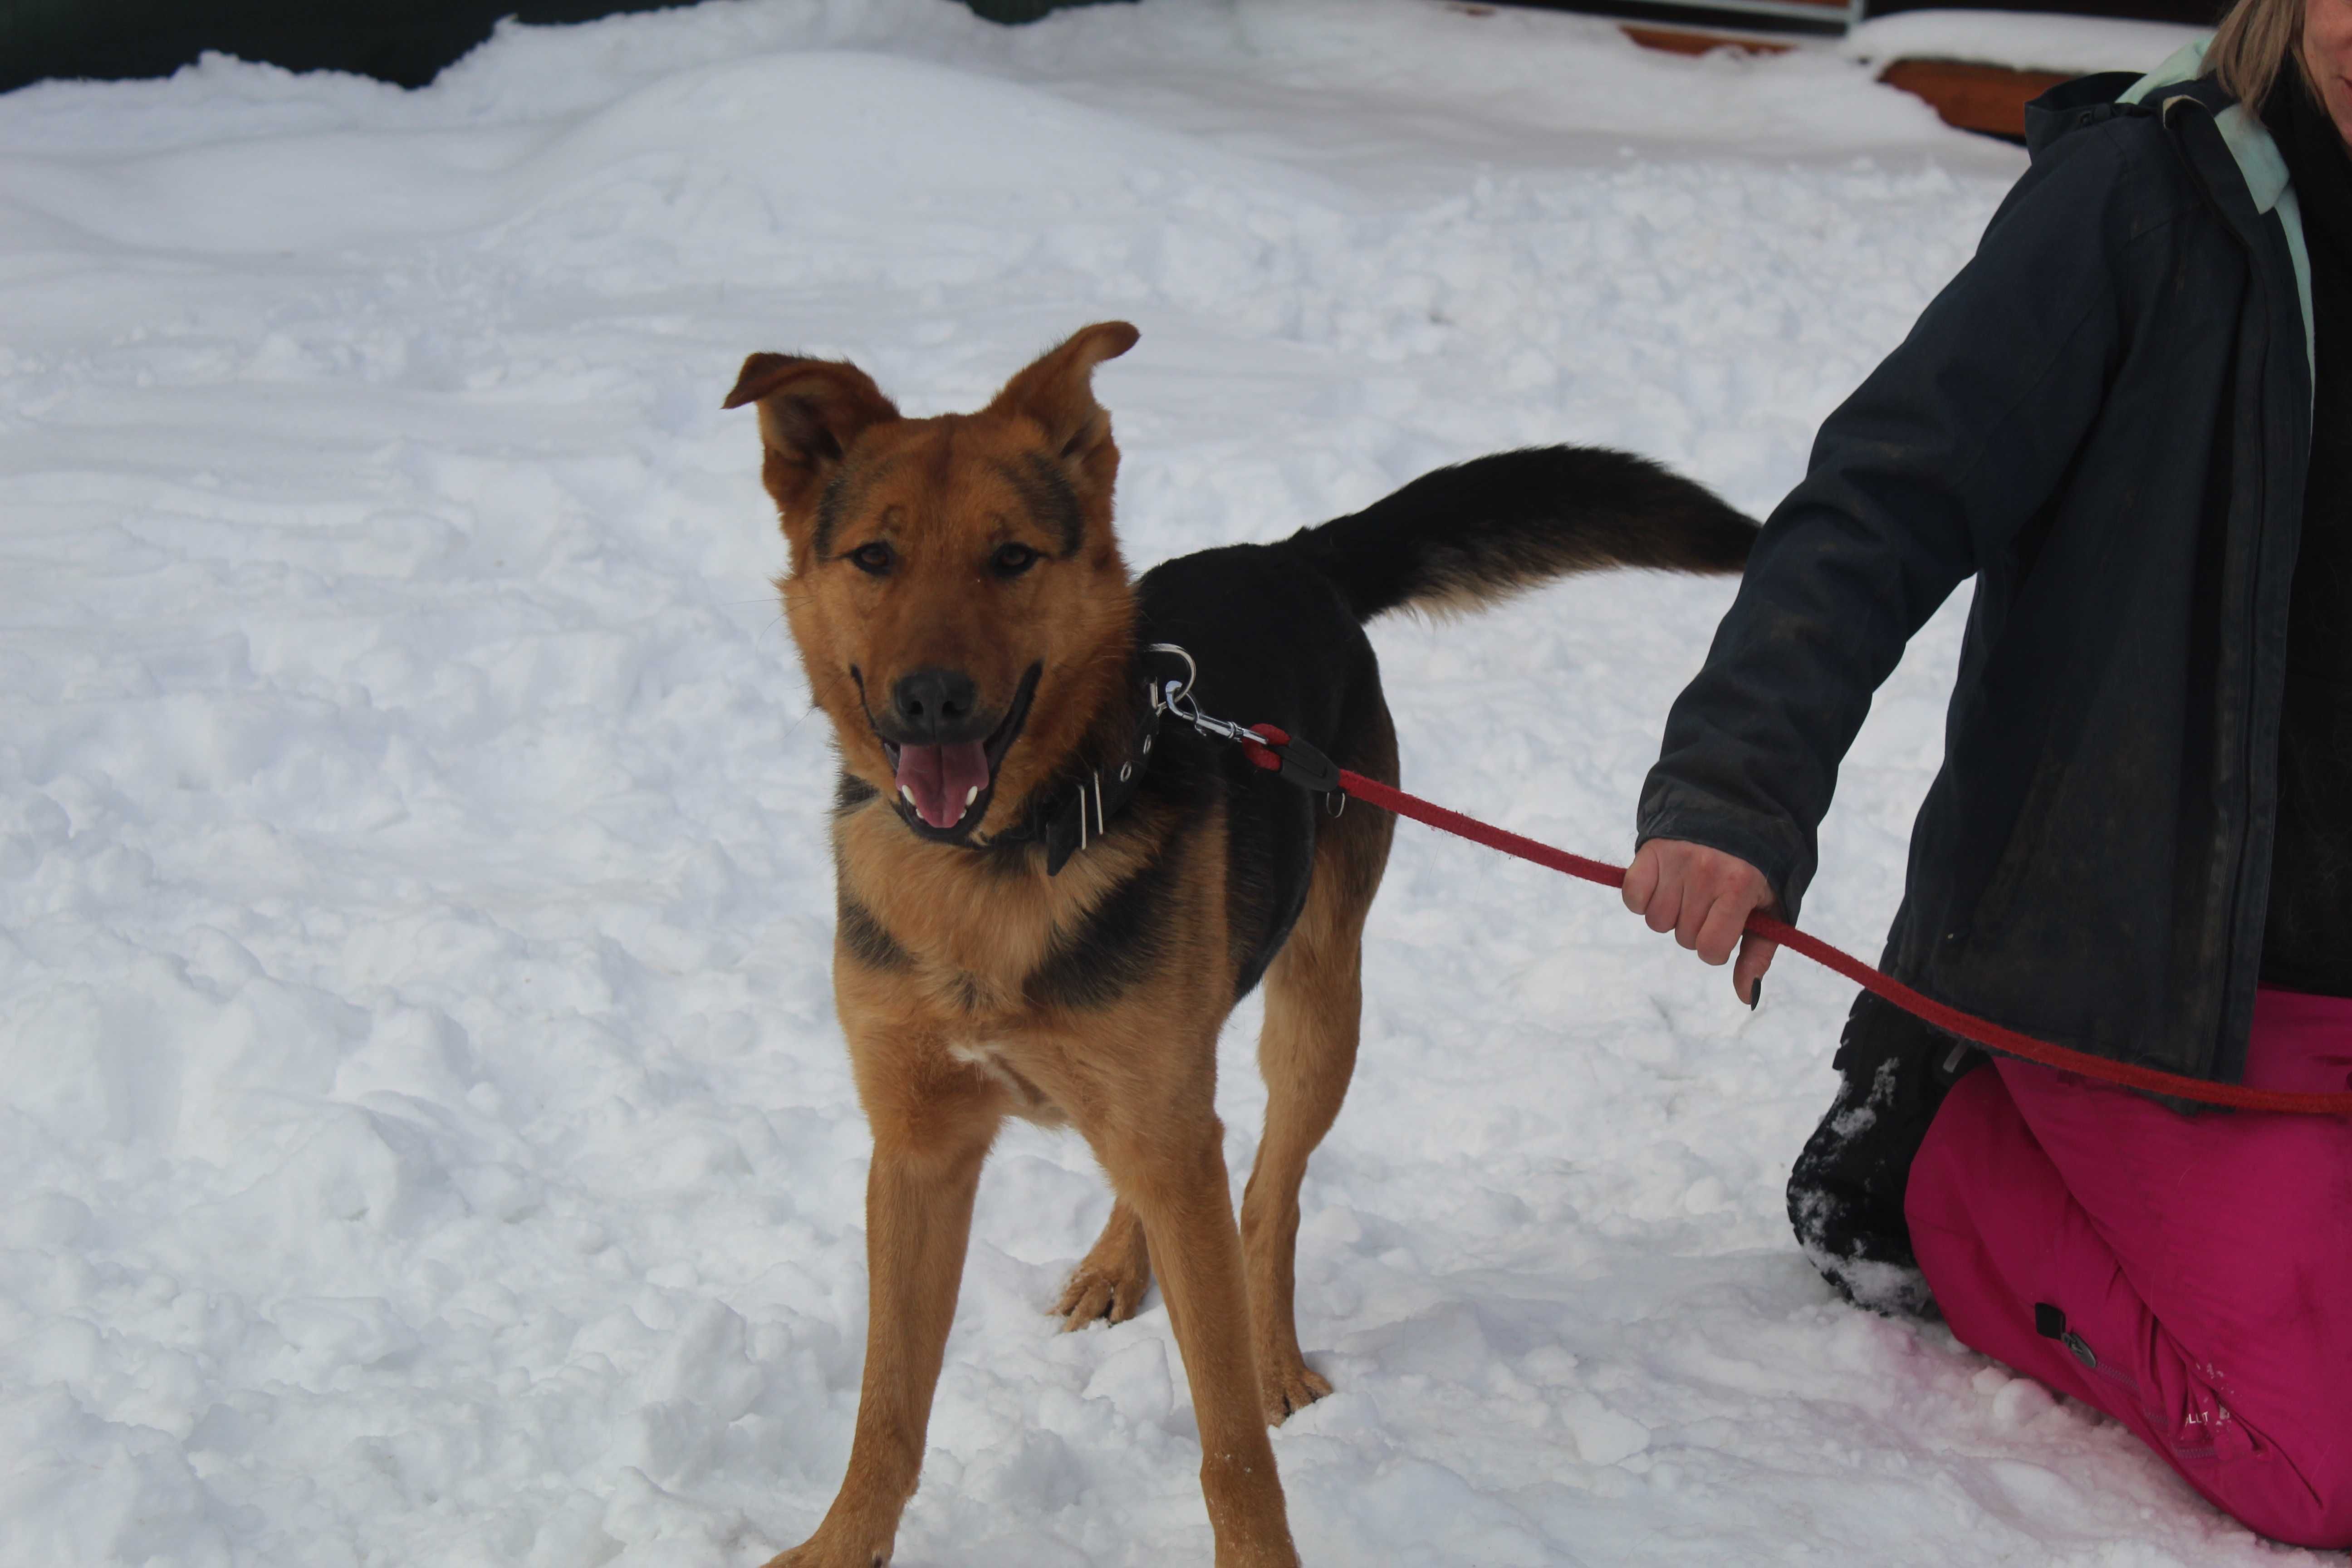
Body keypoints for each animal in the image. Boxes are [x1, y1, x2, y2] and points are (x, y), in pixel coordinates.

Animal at [724, 322, 1759, 1568]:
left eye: (1012, 558)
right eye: (874, 557)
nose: (931, 700)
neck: (1000, 866)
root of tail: (1292, 558)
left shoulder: (1169, 1135)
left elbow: (1230, 1442)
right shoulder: (918, 1149)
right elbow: (886, 1406)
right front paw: (839, 1544)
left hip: (1318, 1006)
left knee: (1266, 1200)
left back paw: (1271, 1357)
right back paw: (1115, 1266)